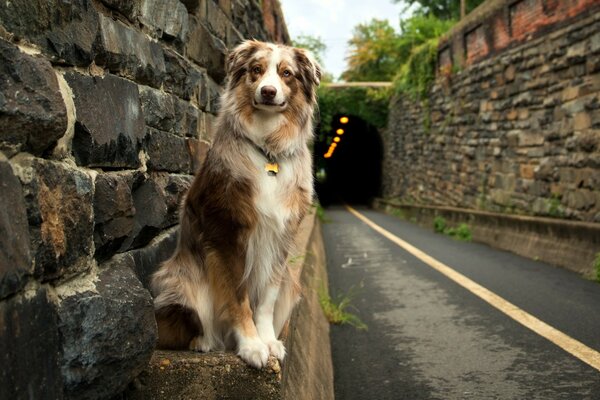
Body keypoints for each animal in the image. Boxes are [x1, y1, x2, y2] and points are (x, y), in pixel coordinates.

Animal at [150, 40, 322, 368]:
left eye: (287, 73)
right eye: (256, 70)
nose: (268, 91)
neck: (268, 149)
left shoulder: (280, 238)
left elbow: (265, 298)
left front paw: (268, 340)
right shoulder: (226, 232)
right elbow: (237, 296)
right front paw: (252, 345)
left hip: (291, 285)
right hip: (180, 281)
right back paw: (204, 342)